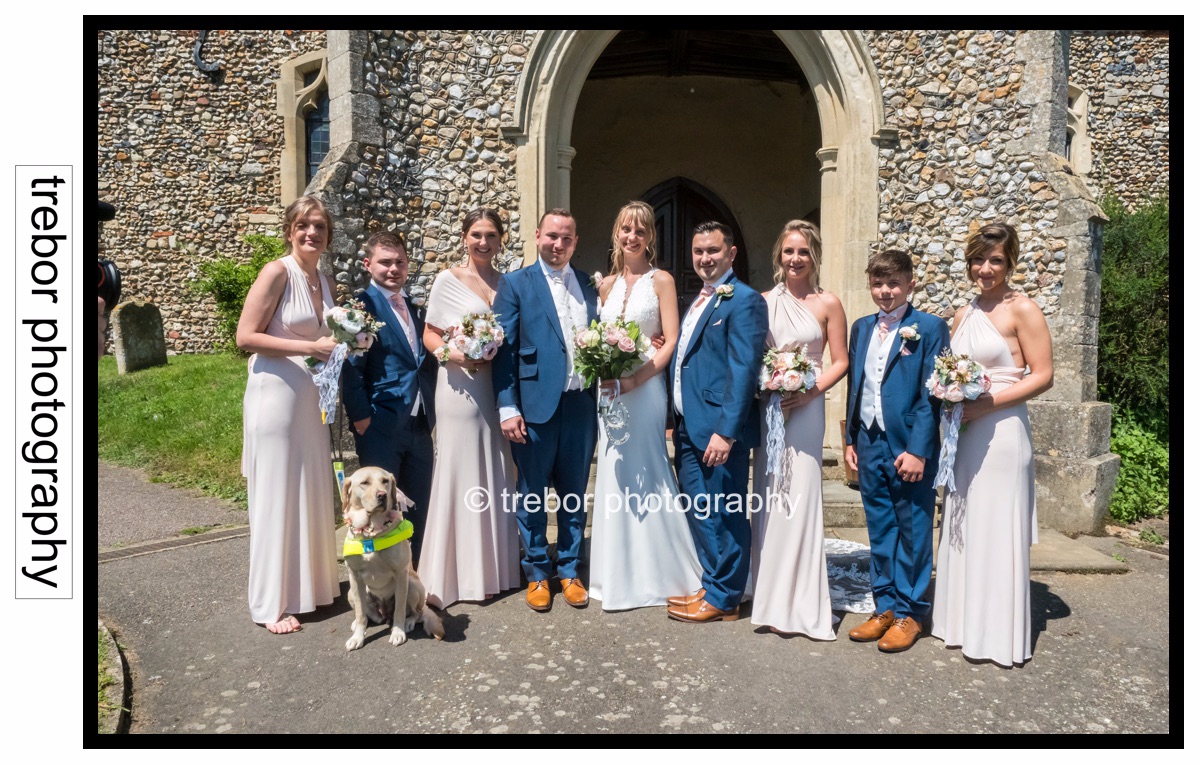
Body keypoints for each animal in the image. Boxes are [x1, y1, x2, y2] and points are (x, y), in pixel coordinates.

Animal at [343, 465, 446, 647]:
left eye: (385, 481)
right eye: (364, 483)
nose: (382, 495)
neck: (372, 532)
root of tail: (385, 613)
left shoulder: (401, 573)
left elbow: (399, 609)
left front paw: (398, 632)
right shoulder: (354, 576)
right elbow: (361, 612)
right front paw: (358, 637)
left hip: (412, 586)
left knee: (417, 612)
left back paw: (408, 622)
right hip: (350, 592)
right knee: (368, 614)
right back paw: (362, 622)